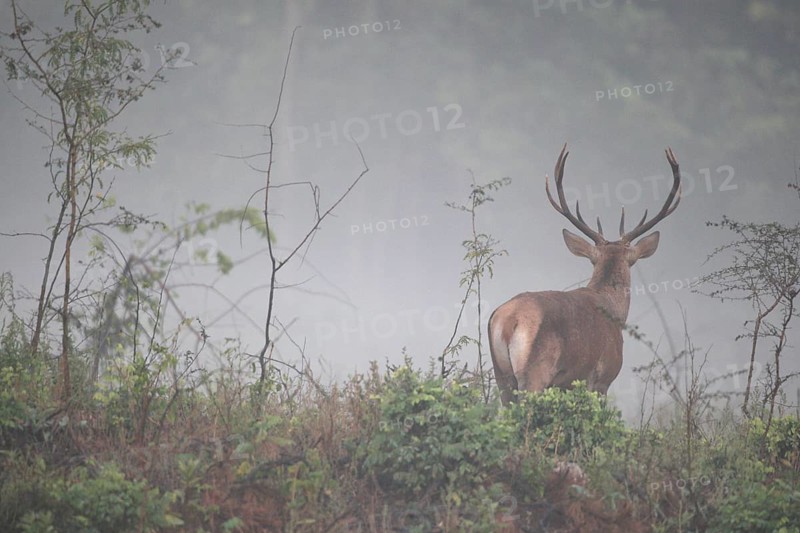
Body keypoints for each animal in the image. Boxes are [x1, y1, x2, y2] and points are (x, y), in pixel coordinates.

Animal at [489, 144, 681, 404]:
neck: (615, 312)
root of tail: (508, 320)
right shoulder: (603, 377)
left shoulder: (565, 384)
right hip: (535, 371)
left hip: (501, 376)